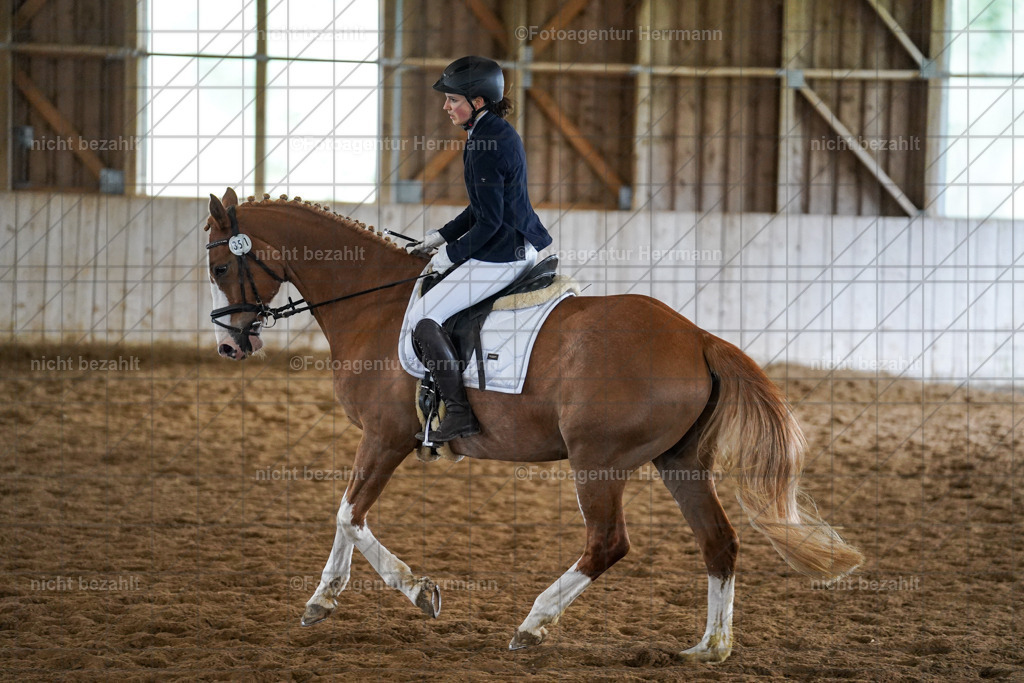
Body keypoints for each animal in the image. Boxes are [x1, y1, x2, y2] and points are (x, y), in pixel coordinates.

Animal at [204, 187, 863, 662]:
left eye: (218, 268)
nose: (231, 347)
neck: (373, 303)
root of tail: (697, 337)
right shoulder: (381, 439)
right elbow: (348, 515)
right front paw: (321, 601)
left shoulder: (385, 437)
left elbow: (349, 514)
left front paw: (418, 591)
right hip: (679, 462)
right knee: (718, 542)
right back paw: (709, 648)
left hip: (598, 462)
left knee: (608, 543)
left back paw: (532, 625)